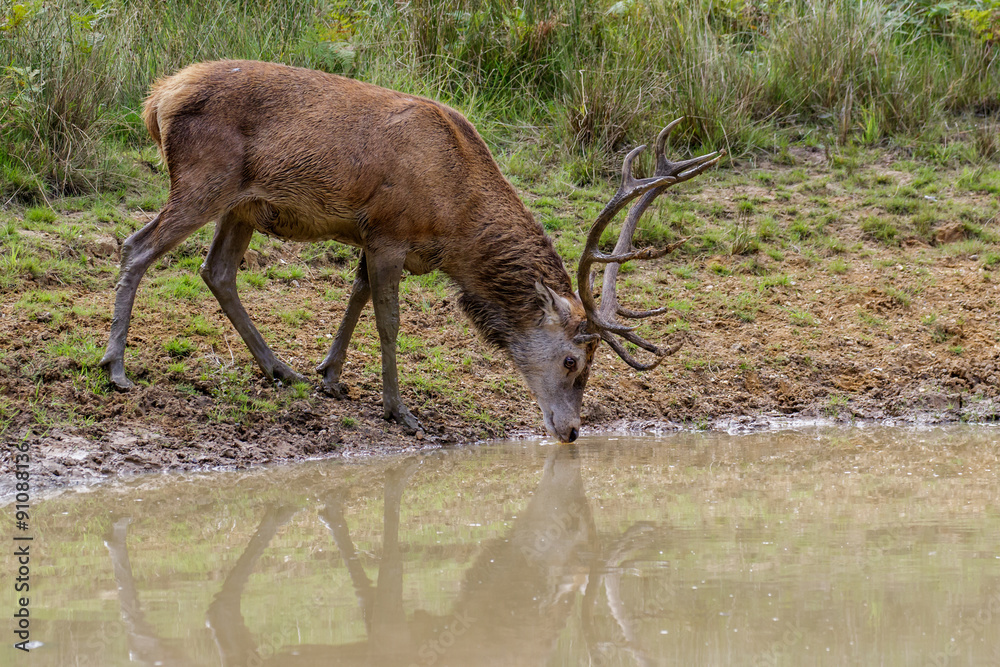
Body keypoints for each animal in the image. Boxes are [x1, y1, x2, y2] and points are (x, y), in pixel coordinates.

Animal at [99, 60, 721, 442]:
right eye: (573, 361)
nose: (570, 431)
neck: (454, 222)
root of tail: (157, 99)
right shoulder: (390, 233)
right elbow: (389, 320)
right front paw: (400, 411)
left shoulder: (370, 236)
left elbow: (356, 294)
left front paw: (328, 375)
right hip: (203, 182)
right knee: (137, 247)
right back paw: (116, 368)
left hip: (242, 205)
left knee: (218, 271)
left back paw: (282, 370)